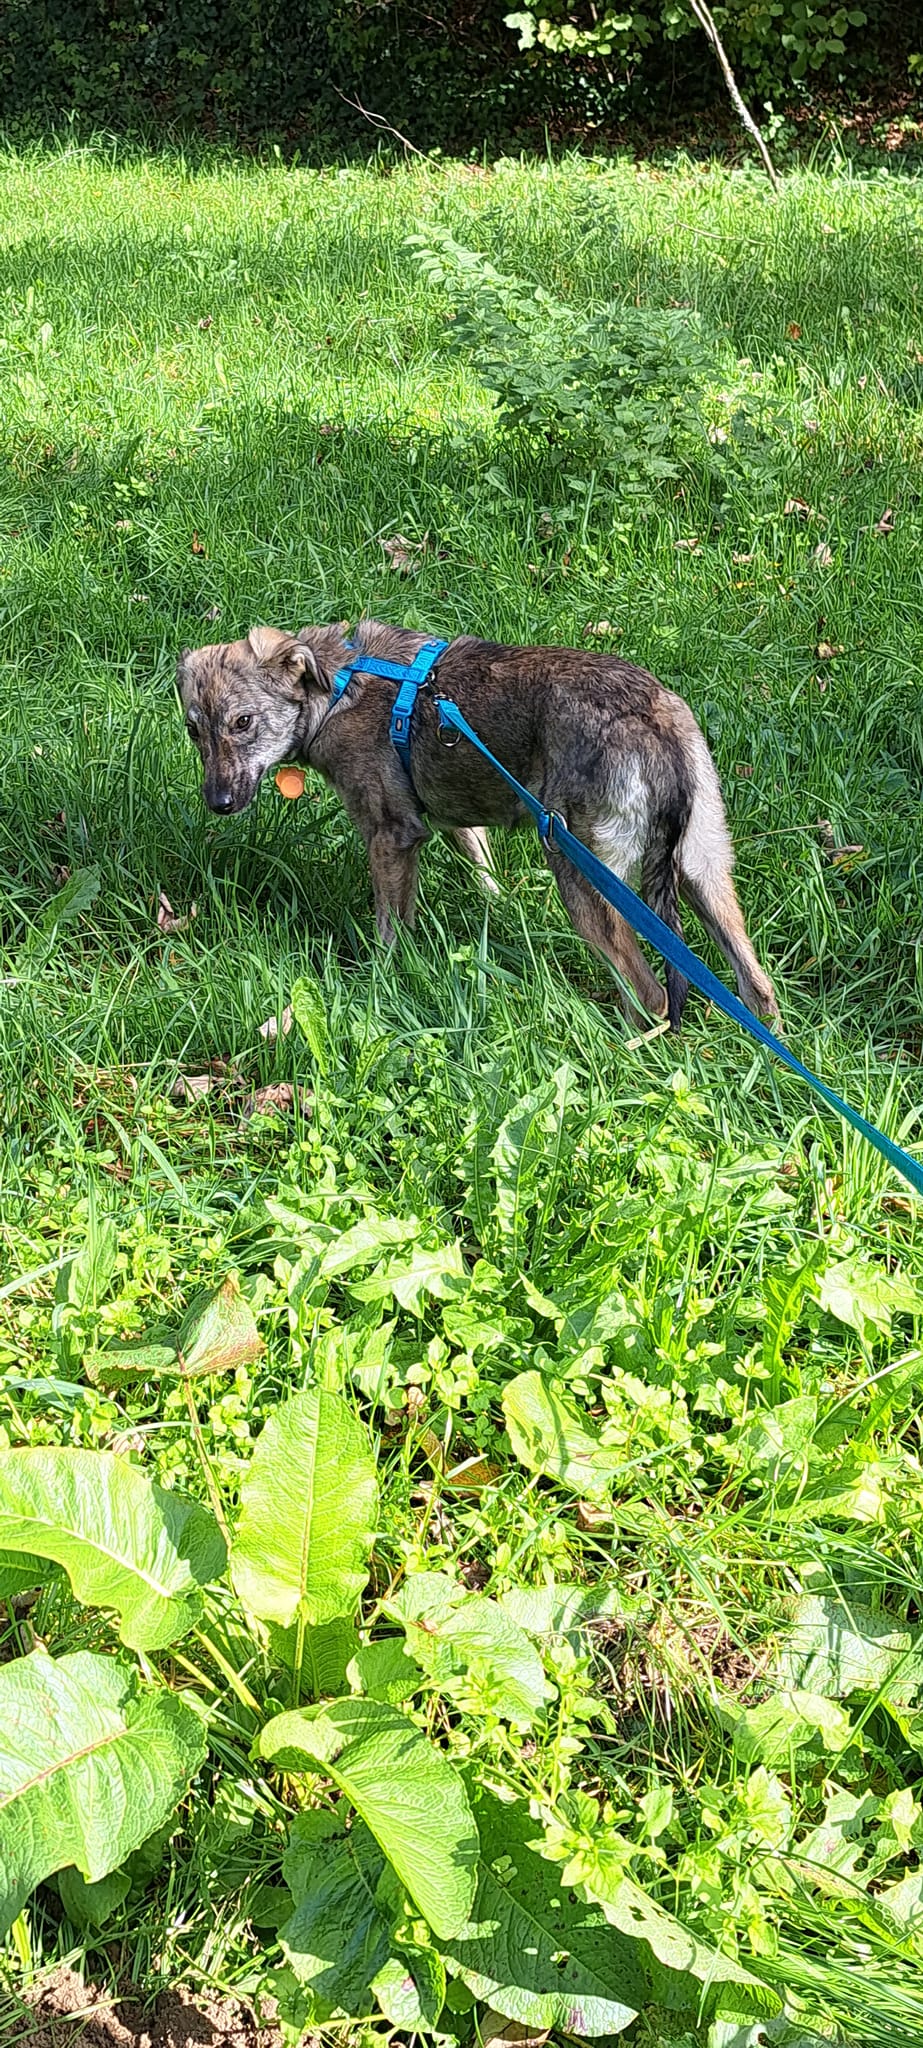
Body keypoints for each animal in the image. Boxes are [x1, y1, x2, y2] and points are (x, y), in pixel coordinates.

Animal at [177, 606, 777, 1024]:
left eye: (243, 722)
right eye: (192, 730)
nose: (218, 803)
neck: (338, 686)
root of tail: (655, 722)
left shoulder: (391, 836)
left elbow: (390, 931)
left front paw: (377, 989)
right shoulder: (453, 821)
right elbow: (485, 874)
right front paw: (501, 909)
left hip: (586, 878)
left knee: (651, 994)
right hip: (702, 870)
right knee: (757, 988)